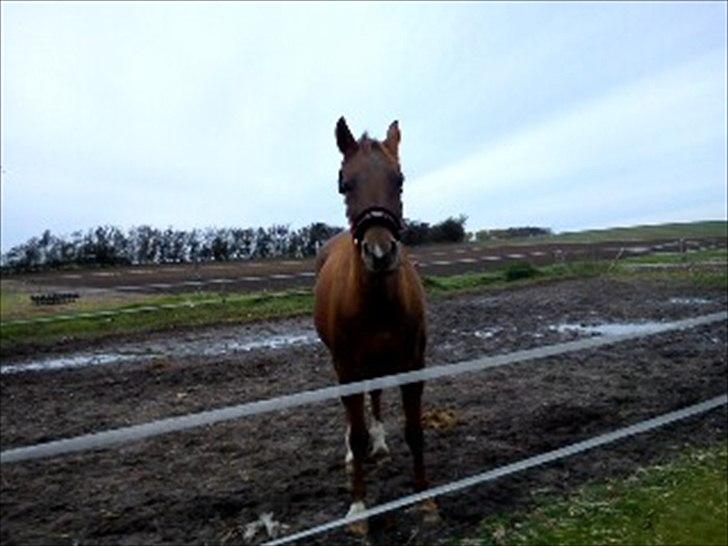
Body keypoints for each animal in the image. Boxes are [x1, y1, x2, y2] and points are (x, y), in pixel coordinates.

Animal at [314, 117, 432, 524]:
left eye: (399, 179)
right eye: (344, 184)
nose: (379, 253)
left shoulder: (413, 363)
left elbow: (414, 430)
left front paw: (425, 497)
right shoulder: (347, 367)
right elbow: (356, 432)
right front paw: (359, 507)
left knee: (377, 394)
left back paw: (379, 443)